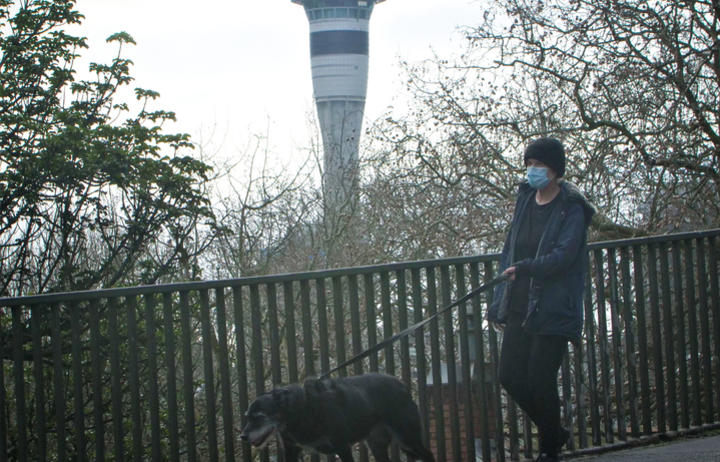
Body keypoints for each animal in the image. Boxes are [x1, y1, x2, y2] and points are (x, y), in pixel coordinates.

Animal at [240, 374, 434, 460]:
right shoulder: (291, 449)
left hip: (407, 437)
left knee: (428, 454)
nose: (242, 436)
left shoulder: (342, 446)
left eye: (259, 417)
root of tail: (403, 386)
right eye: (247, 417)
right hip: (377, 443)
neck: (300, 410)